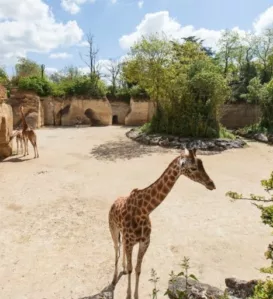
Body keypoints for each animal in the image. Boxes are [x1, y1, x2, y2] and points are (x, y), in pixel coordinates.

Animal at [107, 149, 216, 298]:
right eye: (193, 168)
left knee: (121, 249)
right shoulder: (131, 242)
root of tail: (113, 202)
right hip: (113, 230)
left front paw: (136, 295)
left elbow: (138, 269)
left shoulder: (145, 242)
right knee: (116, 249)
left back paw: (121, 269)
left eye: (202, 164)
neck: (144, 210)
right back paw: (113, 279)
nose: (211, 184)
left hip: (124, 236)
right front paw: (128, 295)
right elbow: (131, 269)